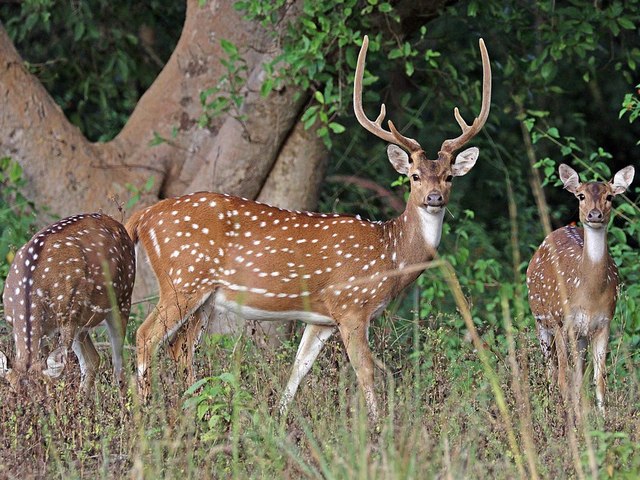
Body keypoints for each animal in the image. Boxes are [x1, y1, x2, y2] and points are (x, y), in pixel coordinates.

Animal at [0, 213, 136, 391]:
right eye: (12, 393)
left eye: (45, 393)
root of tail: (117, 223)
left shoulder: (67, 316)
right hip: (81, 320)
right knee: (93, 359)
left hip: (123, 297)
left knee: (119, 362)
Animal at [125, 35, 491, 422]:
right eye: (414, 176)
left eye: (449, 177)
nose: (435, 198)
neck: (390, 254)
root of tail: (144, 216)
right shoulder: (351, 305)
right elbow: (366, 371)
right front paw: (379, 428)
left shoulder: (322, 319)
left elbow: (298, 369)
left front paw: (279, 420)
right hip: (182, 279)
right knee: (146, 335)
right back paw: (144, 414)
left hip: (204, 296)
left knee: (181, 347)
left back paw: (192, 413)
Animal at [526, 164, 635, 417]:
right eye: (581, 196)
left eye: (610, 196)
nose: (594, 215)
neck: (589, 295)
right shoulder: (563, 321)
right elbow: (566, 377)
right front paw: (571, 419)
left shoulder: (604, 323)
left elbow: (598, 379)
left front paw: (601, 420)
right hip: (543, 320)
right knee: (552, 370)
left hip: (581, 334)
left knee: (574, 373)